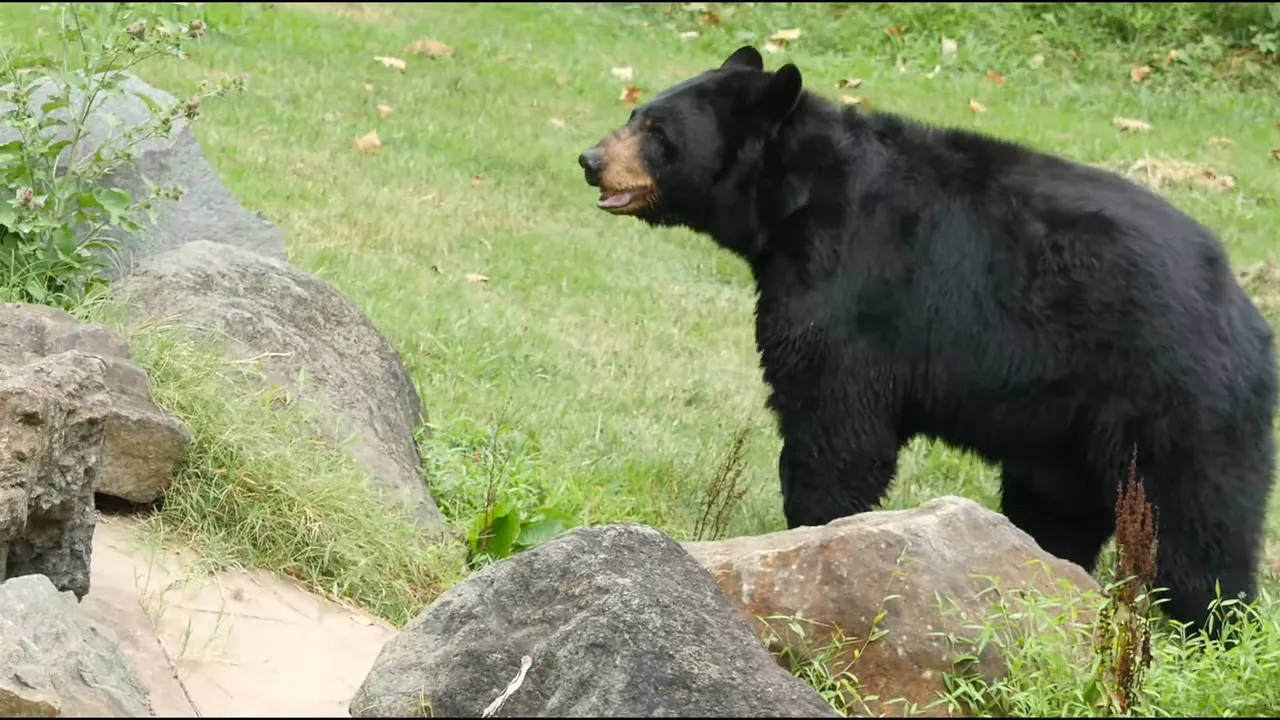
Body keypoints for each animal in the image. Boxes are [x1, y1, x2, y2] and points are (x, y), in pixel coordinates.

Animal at [576, 45, 1278, 638]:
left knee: (1197, 523)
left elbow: (835, 421)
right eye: (634, 111)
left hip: (1176, 398)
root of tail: (1250, 319)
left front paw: (814, 535)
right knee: (1060, 506)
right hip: (1068, 426)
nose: (590, 160)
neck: (796, 199)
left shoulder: (853, 287)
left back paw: (1208, 626)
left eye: (658, 132)